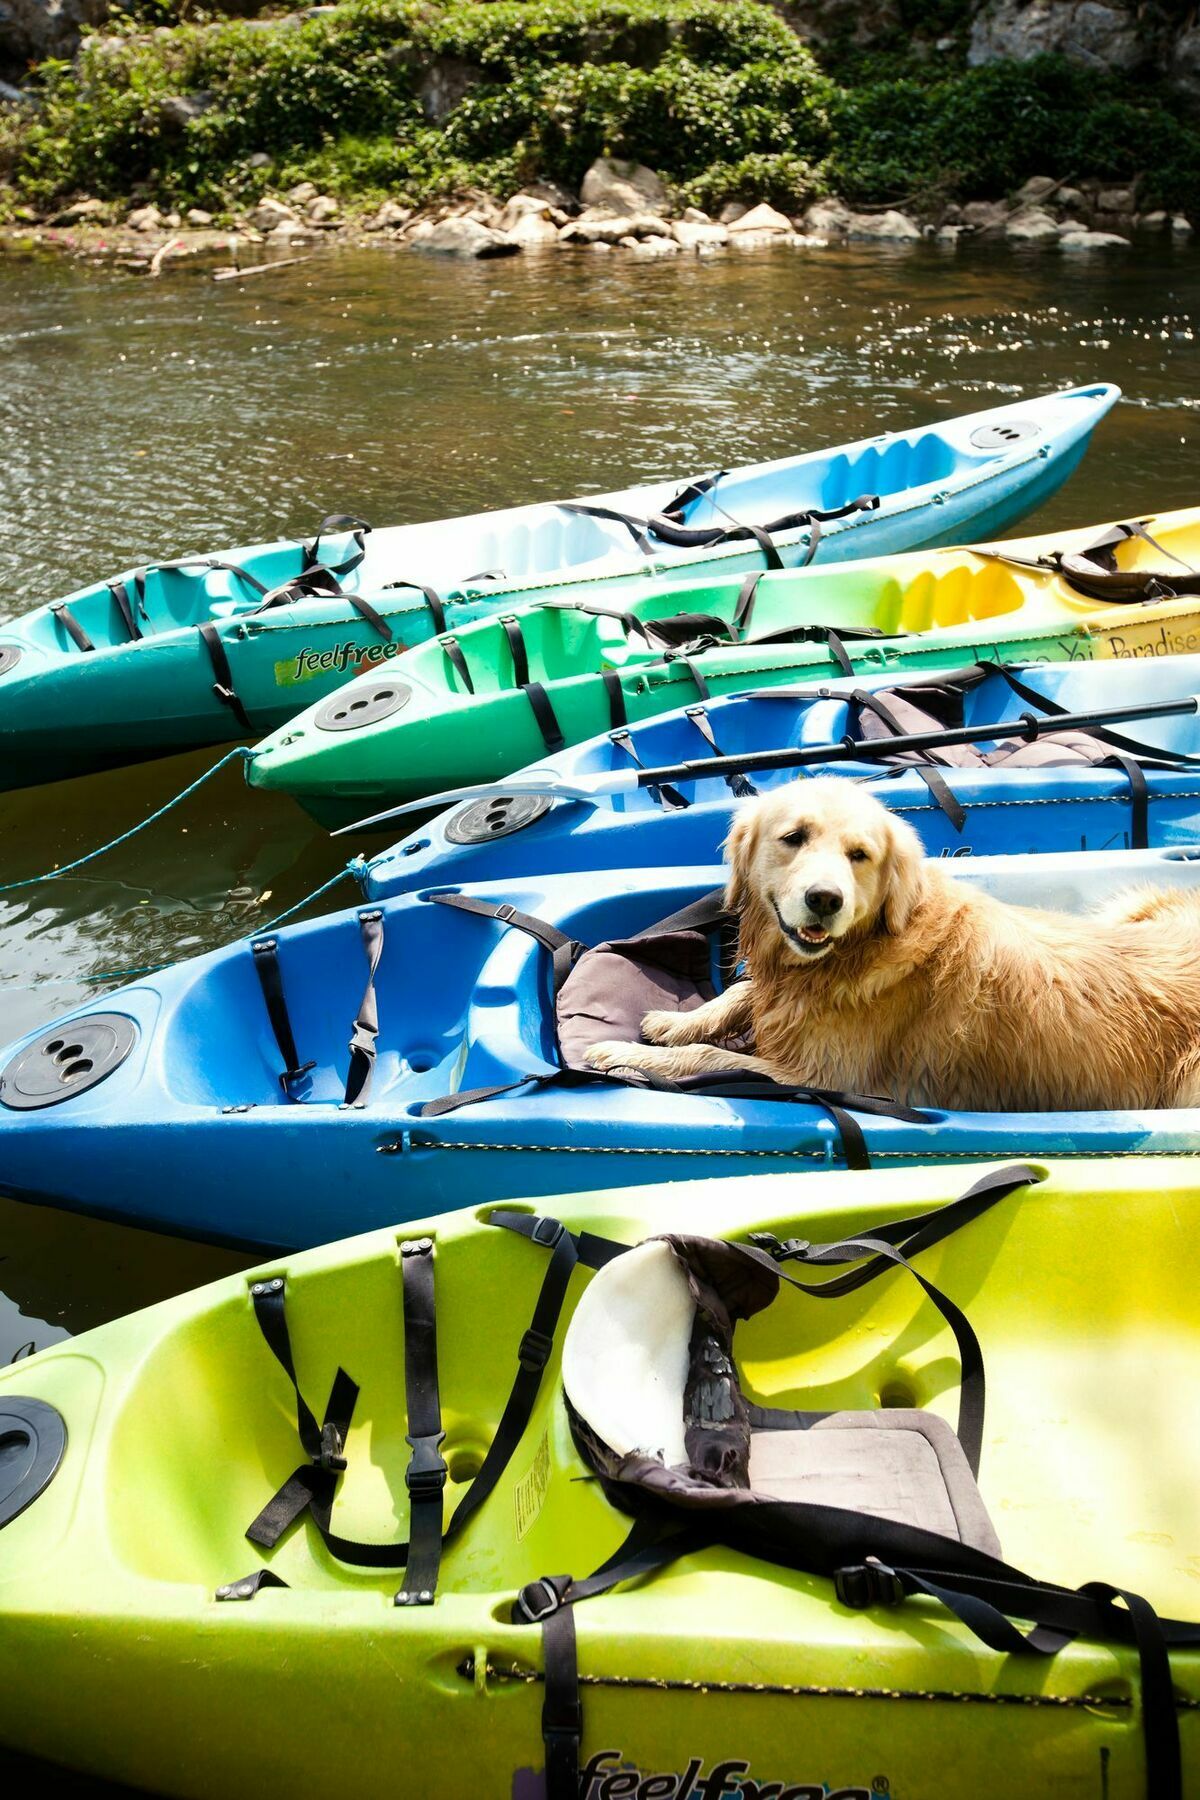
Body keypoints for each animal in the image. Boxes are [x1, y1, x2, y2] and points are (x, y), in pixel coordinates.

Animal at [582, 777, 1200, 1108]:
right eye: (793, 837)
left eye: (860, 854)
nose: (825, 899)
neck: (854, 956)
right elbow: (741, 994)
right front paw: (673, 1021)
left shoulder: (816, 1079)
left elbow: (710, 1057)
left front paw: (626, 1055)